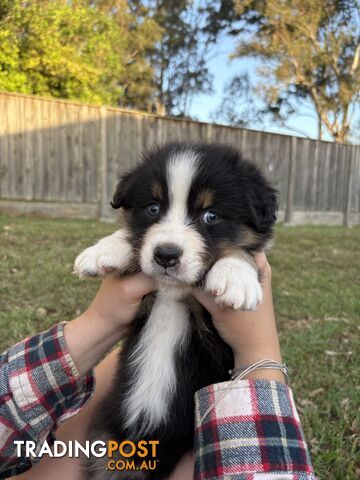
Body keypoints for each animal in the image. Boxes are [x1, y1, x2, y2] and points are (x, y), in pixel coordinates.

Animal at [74, 141, 278, 478]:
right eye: (153, 208)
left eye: (211, 216)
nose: (166, 255)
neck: (172, 293)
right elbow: (133, 237)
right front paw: (103, 250)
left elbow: (241, 250)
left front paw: (235, 276)